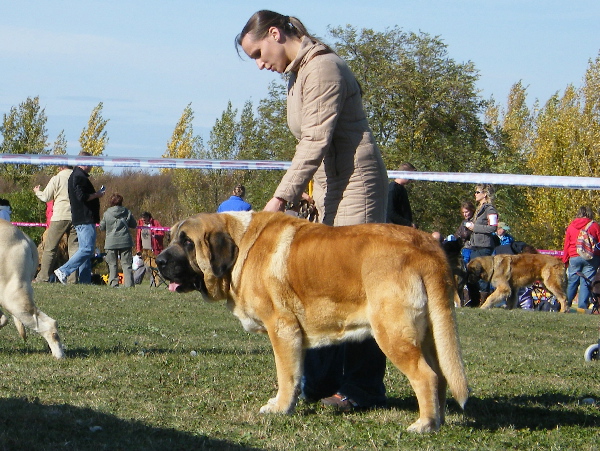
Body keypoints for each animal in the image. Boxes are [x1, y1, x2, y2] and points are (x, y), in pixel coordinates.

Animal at [156, 213, 468, 434]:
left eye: (187, 242)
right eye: (170, 239)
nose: (158, 261)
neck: (242, 244)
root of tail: (428, 248)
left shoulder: (282, 329)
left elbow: (286, 375)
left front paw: (281, 408)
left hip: (393, 335)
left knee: (426, 376)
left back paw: (424, 424)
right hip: (430, 336)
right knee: (441, 376)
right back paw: (437, 420)